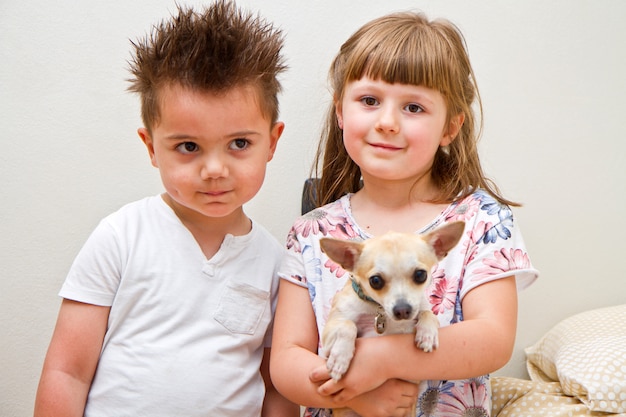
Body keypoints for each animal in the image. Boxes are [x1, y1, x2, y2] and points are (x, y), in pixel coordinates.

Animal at [316, 221, 464, 390]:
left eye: (420, 275)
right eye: (375, 281)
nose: (402, 310)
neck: (379, 309)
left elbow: (428, 313)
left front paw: (427, 334)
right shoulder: (329, 337)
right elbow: (347, 325)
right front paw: (340, 357)